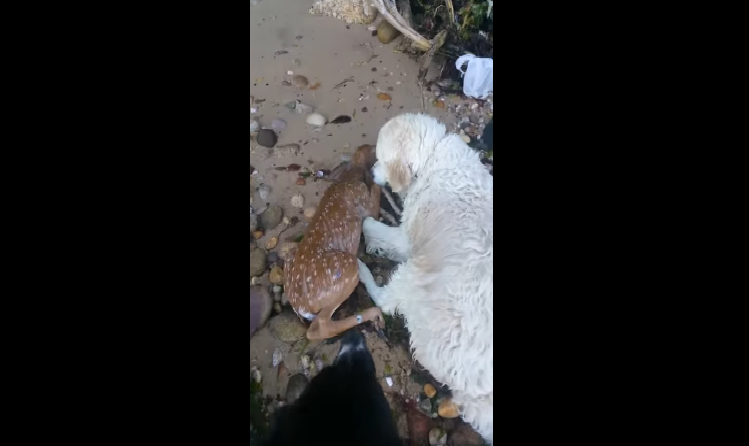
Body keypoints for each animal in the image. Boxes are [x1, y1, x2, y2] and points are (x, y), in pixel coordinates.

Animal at [358, 114, 494, 442]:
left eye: (380, 158)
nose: (371, 171)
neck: (432, 155)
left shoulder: (408, 240)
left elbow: (375, 229)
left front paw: (365, 222)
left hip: (416, 277)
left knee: (384, 302)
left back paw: (361, 270)